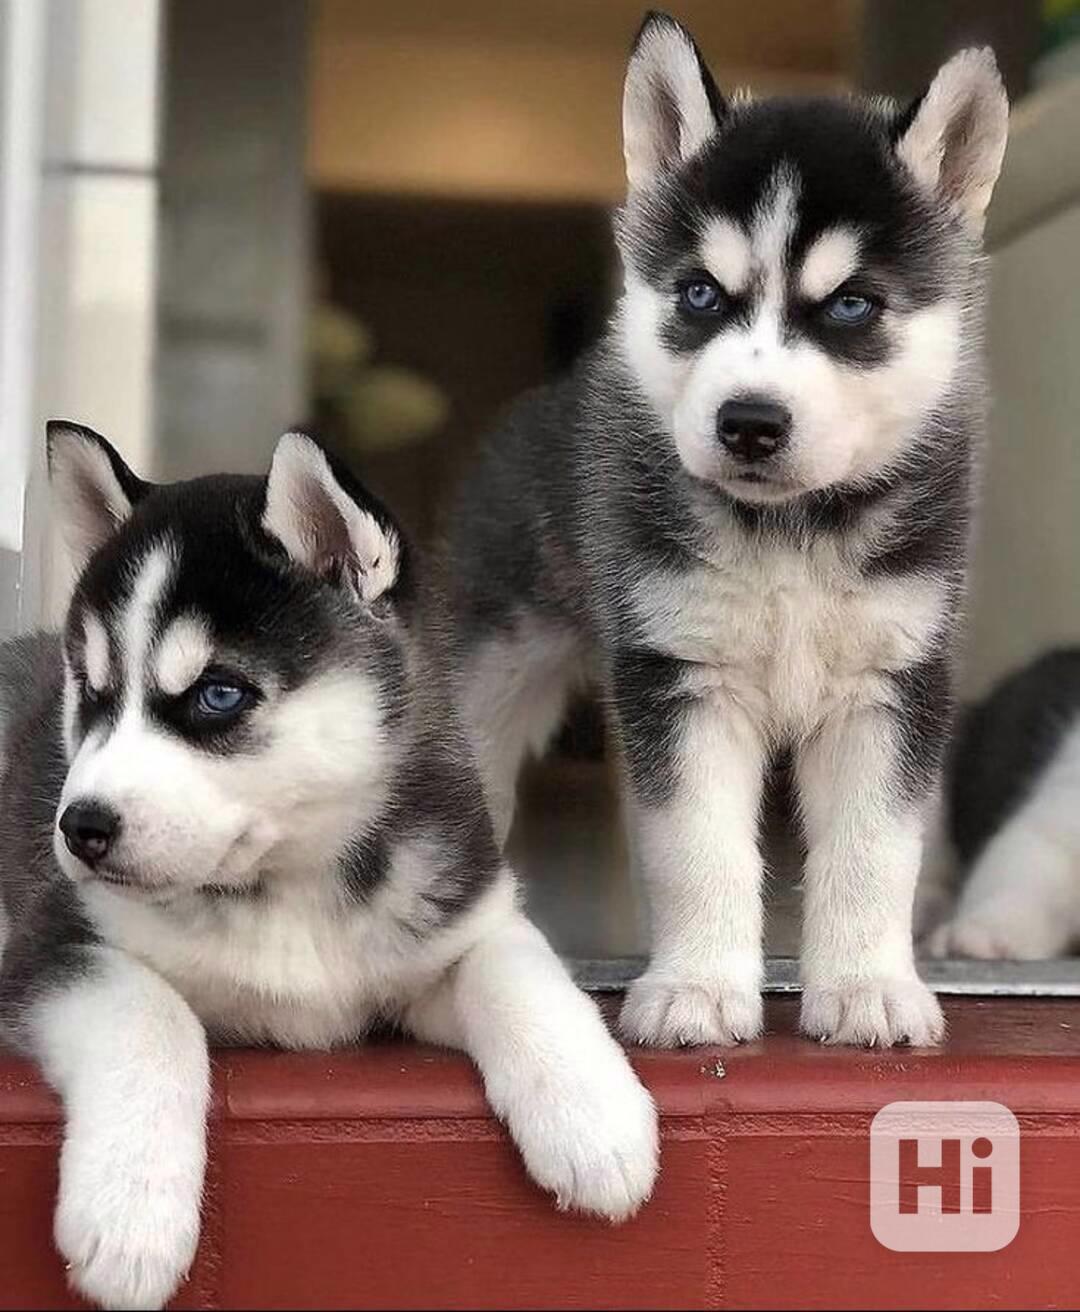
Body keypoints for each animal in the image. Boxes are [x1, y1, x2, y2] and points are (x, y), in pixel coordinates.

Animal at [0, 425, 658, 1312]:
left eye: (217, 695)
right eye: (93, 692)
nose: (80, 828)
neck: (289, 885)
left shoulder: (455, 917)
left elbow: (519, 970)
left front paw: (596, 1119)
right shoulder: (53, 945)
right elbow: (153, 1015)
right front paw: (131, 1218)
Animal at [443, 10, 1007, 1049]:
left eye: (853, 304)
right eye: (702, 294)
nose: (749, 421)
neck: (788, 533)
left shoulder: (891, 684)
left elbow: (874, 851)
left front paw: (866, 986)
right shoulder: (682, 679)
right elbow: (698, 846)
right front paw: (698, 987)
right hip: (498, 663)